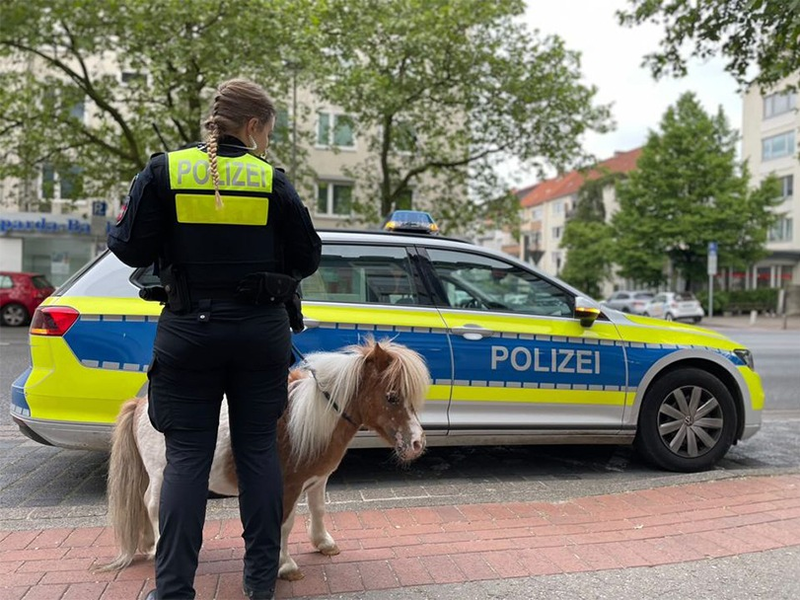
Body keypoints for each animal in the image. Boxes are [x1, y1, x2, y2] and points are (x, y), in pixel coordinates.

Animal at [101, 338, 430, 581]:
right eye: (391, 396)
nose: (417, 443)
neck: (305, 421)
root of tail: (140, 404)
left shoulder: (317, 480)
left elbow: (319, 509)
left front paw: (323, 543)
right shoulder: (289, 486)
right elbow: (286, 522)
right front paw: (285, 565)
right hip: (161, 473)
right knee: (152, 504)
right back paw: (158, 547)